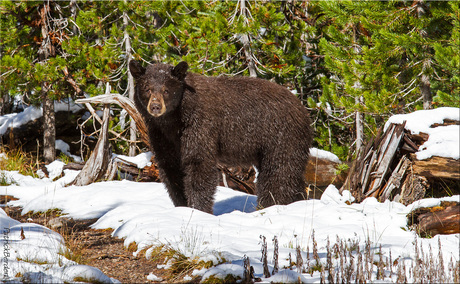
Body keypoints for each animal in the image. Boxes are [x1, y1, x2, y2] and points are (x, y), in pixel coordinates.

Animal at [131, 61, 314, 214]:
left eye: (166, 90)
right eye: (147, 89)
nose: (155, 106)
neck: (174, 119)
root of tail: (303, 109)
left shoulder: (200, 125)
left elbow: (199, 164)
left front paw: (198, 209)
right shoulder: (161, 134)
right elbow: (171, 169)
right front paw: (182, 205)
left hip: (280, 137)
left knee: (279, 173)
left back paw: (269, 205)